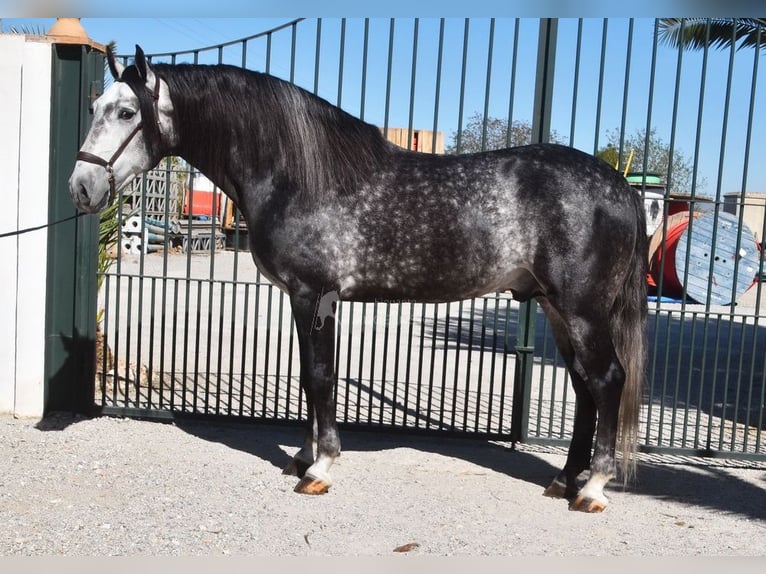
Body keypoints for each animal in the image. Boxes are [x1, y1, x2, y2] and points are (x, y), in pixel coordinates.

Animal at [70, 45, 648, 512]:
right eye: (95, 107)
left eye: (127, 111)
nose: (81, 186)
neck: (297, 175)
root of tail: (619, 185)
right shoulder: (302, 300)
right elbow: (310, 376)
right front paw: (303, 456)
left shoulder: (316, 296)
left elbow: (319, 377)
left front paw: (320, 468)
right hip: (556, 308)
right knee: (584, 387)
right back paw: (564, 480)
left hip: (582, 311)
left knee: (606, 380)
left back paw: (593, 489)